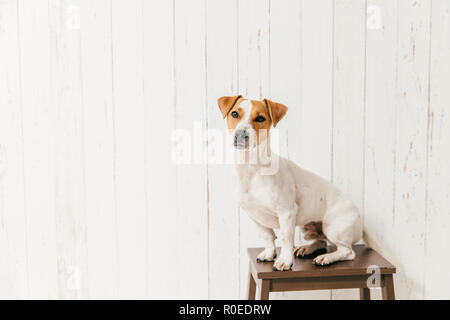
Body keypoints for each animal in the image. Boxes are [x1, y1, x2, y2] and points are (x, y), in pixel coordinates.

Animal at [217, 95, 362, 270]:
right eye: (234, 114)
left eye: (260, 118)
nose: (240, 135)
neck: (251, 168)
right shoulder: (254, 214)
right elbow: (267, 236)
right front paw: (270, 253)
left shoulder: (286, 212)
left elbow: (286, 238)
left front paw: (284, 261)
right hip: (307, 227)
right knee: (321, 241)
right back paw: (307, 248)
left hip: (334, 228)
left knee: (347, 251)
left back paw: (326, 257)